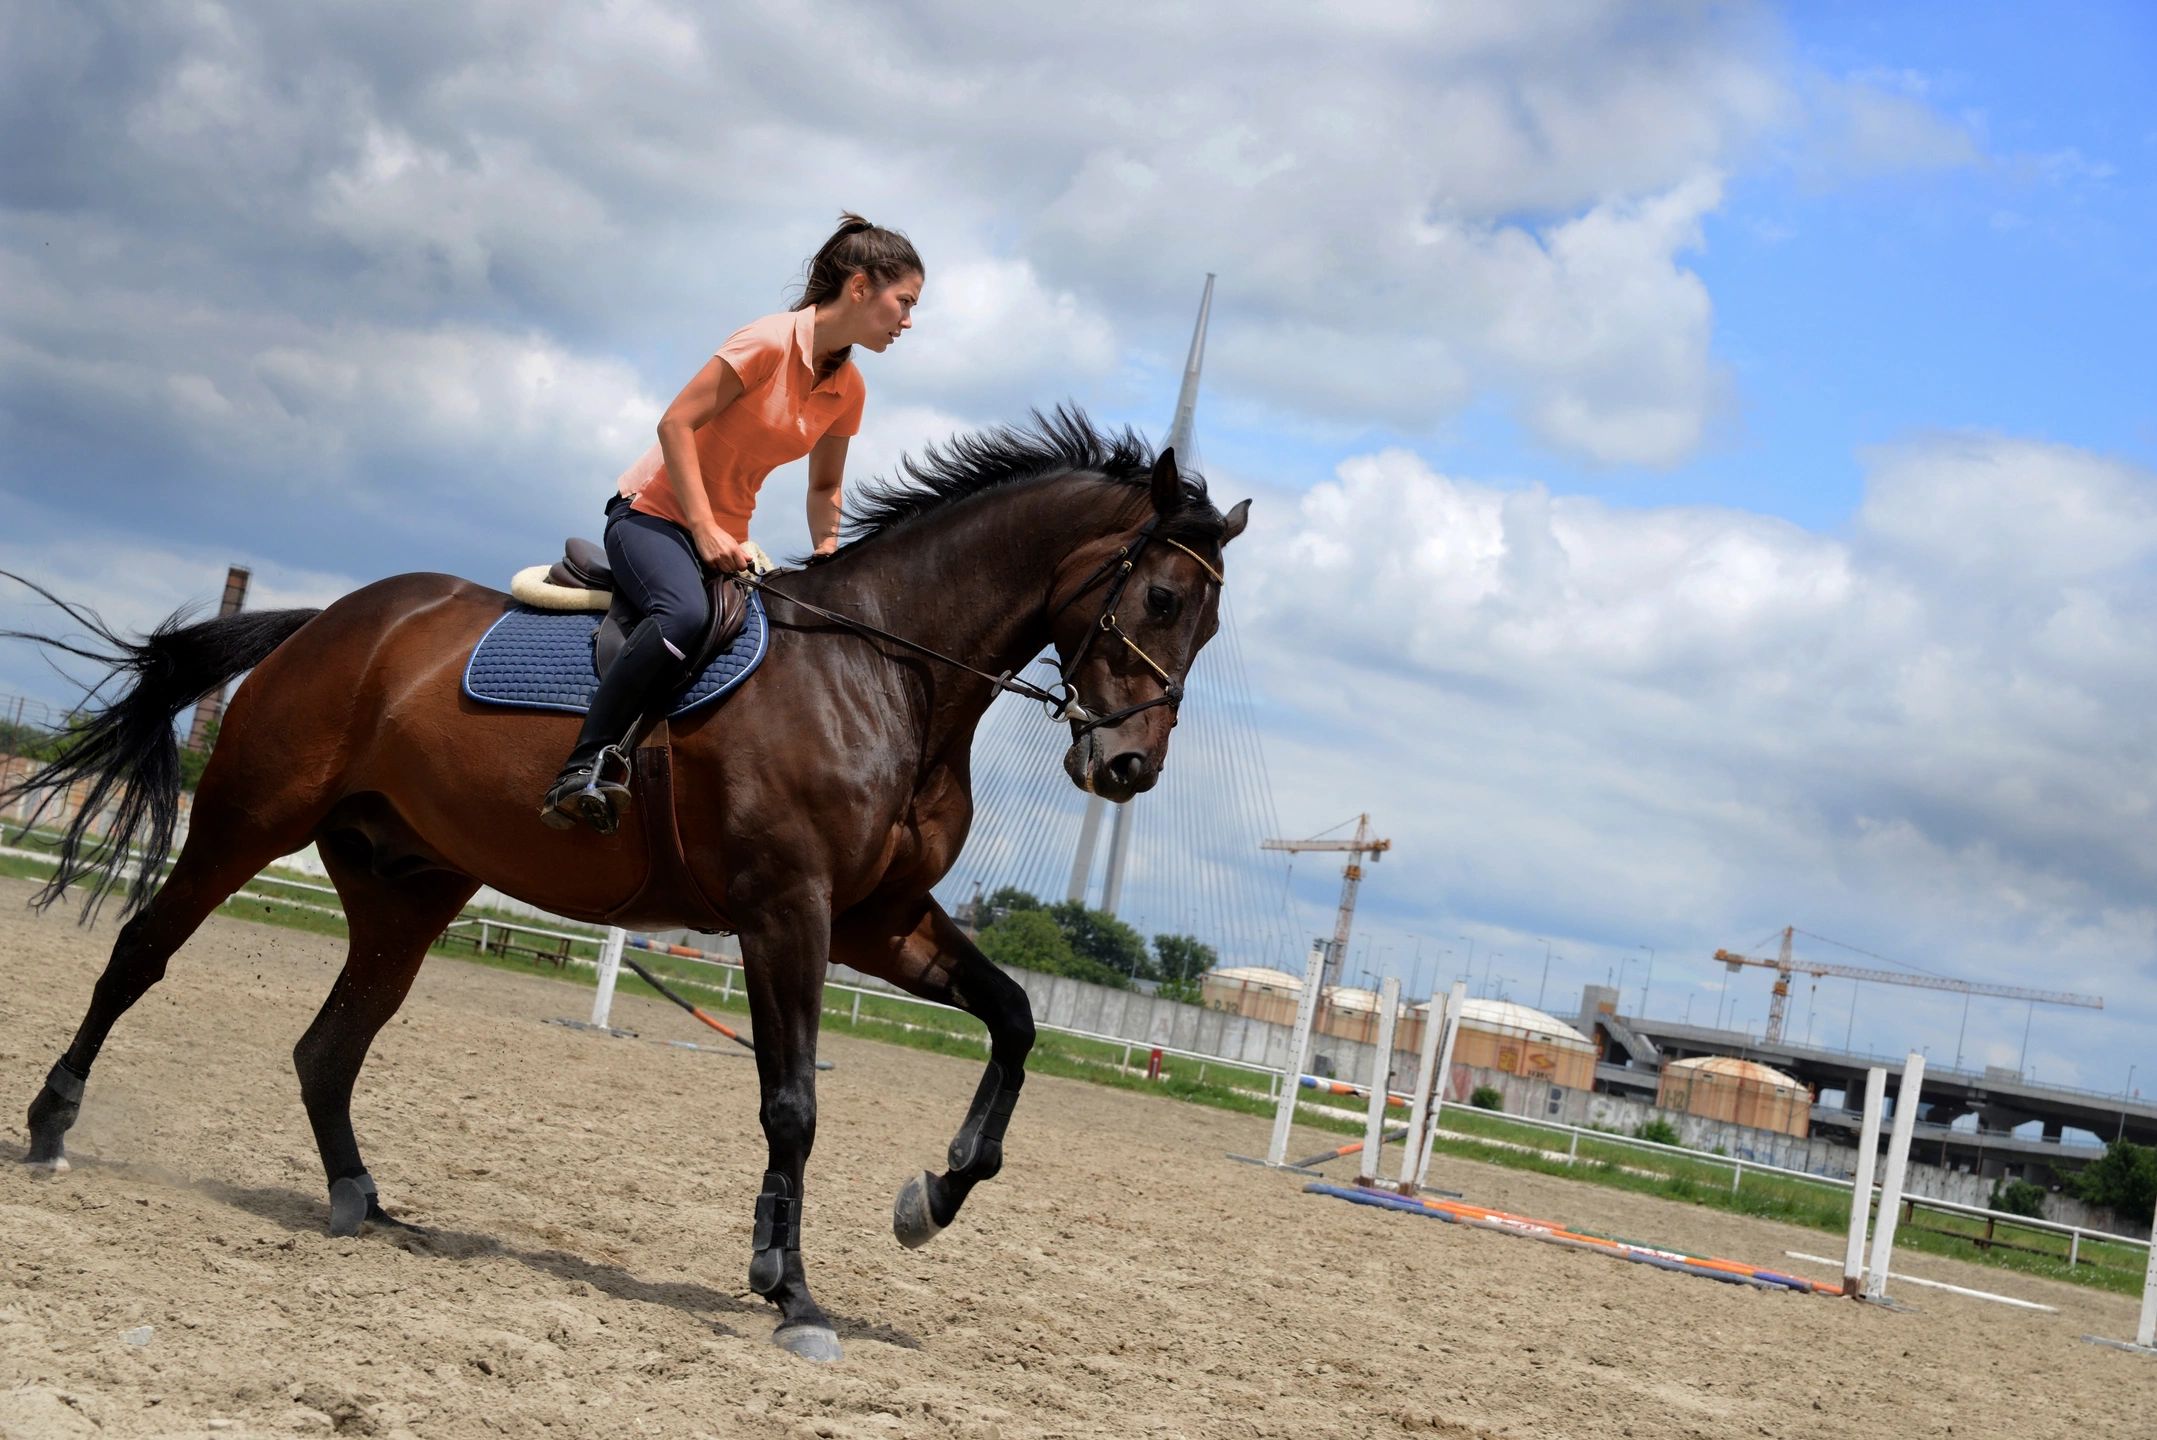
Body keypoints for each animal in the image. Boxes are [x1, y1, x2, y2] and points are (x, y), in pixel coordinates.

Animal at [8, 413, 1251, 1362]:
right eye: (1159, 602)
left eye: (1210, 620)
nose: (1127, 770)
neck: (891, 672)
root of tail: (330, 622)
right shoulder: (788, 912)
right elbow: (793, 1104)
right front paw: (792, 1292)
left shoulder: (880, 922)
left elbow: (1016, 1018)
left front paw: (930, 1198)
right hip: (249, 823)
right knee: (142, 955)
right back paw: (53, 1128)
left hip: (409, 887)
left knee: (331, 1043)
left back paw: (363, 1201)